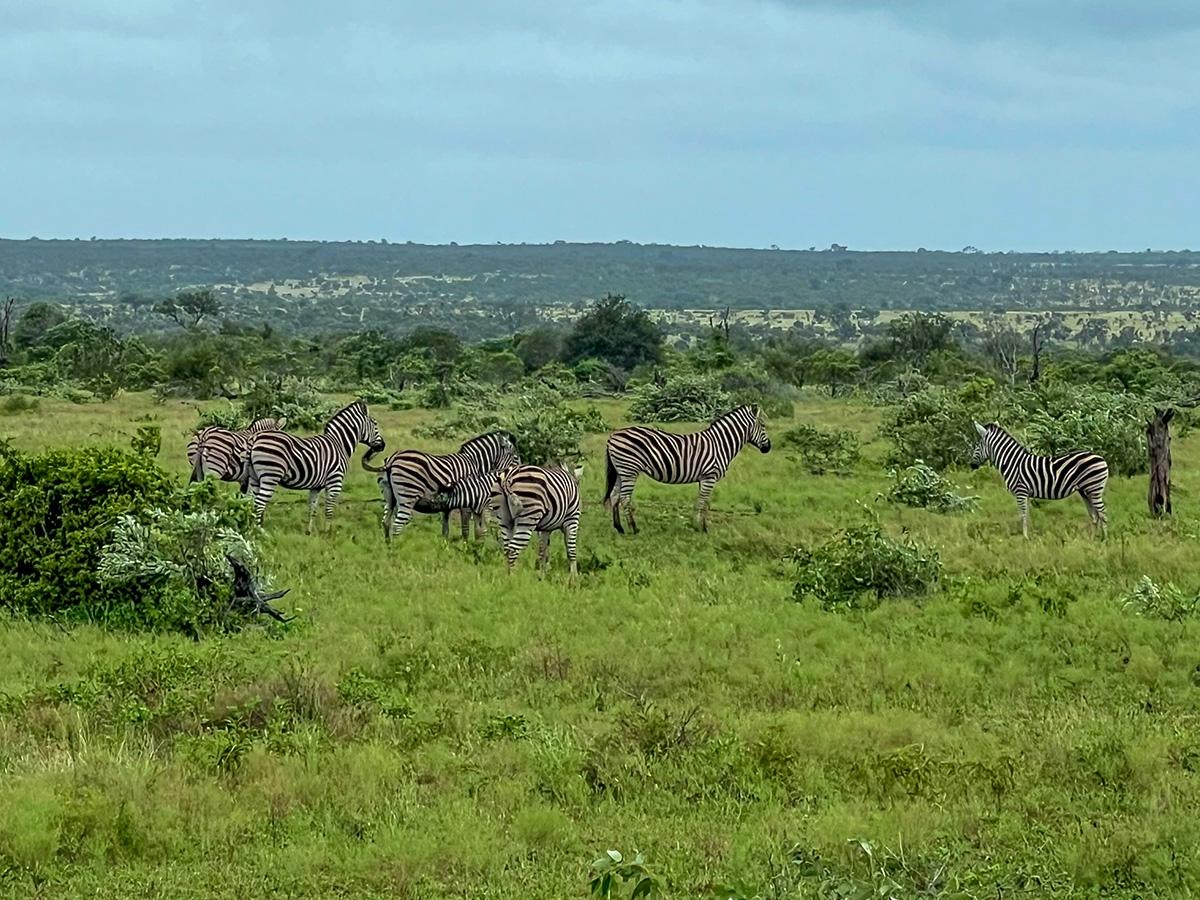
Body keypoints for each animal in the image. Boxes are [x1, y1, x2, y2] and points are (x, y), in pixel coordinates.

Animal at [244, 400, 385, 532]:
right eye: (375, 424)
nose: (383, 445)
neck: (339, 444)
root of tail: (255, 438)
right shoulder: (335, 481)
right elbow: (329, 509)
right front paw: (327, 532)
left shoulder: (316, 486)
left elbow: (312, 508)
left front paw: (309, 531)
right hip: (270, 476)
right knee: (259, 504)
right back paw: (259, 531)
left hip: (254, 477)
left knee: (250, 501)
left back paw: (249, 527)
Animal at [365, 431, 520, 542]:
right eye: (514, 455)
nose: (517, 473)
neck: (474, 464)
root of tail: (393, 459)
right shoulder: (467, 501)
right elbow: (466, 529)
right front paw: (466, 545)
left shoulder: (448, 505)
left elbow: (445, 530)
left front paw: (445, 548)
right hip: (407, 496)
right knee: (397, 525)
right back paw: (397, 551)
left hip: (389, 497)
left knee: (385, 522)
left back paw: (388, 548)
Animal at [602, 404, 771, 533]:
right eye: (763, 426)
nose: (768, 448)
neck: (720, 444)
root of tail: (613, 435)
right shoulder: (710, 476)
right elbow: (703, 503)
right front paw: (702, 529)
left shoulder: (704, 478)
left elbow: (702, 503)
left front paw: (697, 526)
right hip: (629, 470)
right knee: (624, 498)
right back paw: (634, 528)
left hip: (621, 471)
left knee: (614, 496)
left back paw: (619, 528)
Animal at [970, 421, 1109, 539]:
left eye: (977, 446)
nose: (971, 465)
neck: (1012, 462)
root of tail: (1102, 458)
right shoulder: (1025, 493)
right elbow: (1026, 515)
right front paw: (1028, 535)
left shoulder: (1020, 491)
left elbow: (1022, 515)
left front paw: (1025, 538)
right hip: (1085, 491)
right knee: (1095, 515)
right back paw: (1092, 539)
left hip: (1094, 488)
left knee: (1102, 513)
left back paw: (1104, 539)